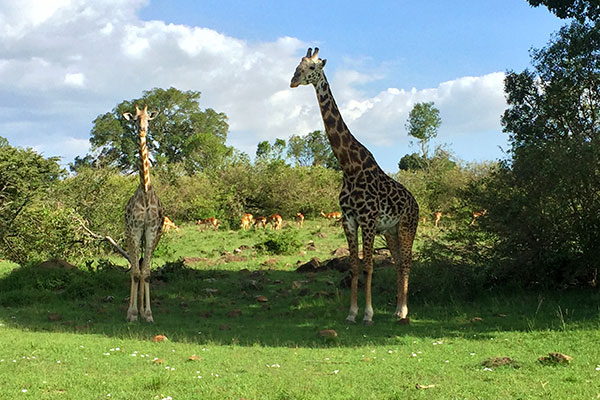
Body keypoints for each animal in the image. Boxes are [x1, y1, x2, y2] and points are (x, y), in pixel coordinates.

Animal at [292, 47, 422, 324]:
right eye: (297, 65)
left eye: (312, 68)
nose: (293, 81)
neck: (349, 167)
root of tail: (416, 203)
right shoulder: (349, 219)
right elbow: (353, 266)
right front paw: (352, 313)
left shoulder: (369, 220)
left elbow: (369, 266)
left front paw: (368, 314)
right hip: (392, 231)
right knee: (398, 263)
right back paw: (396, 309)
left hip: (407, 226)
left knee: (407, 262)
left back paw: (404, 311)